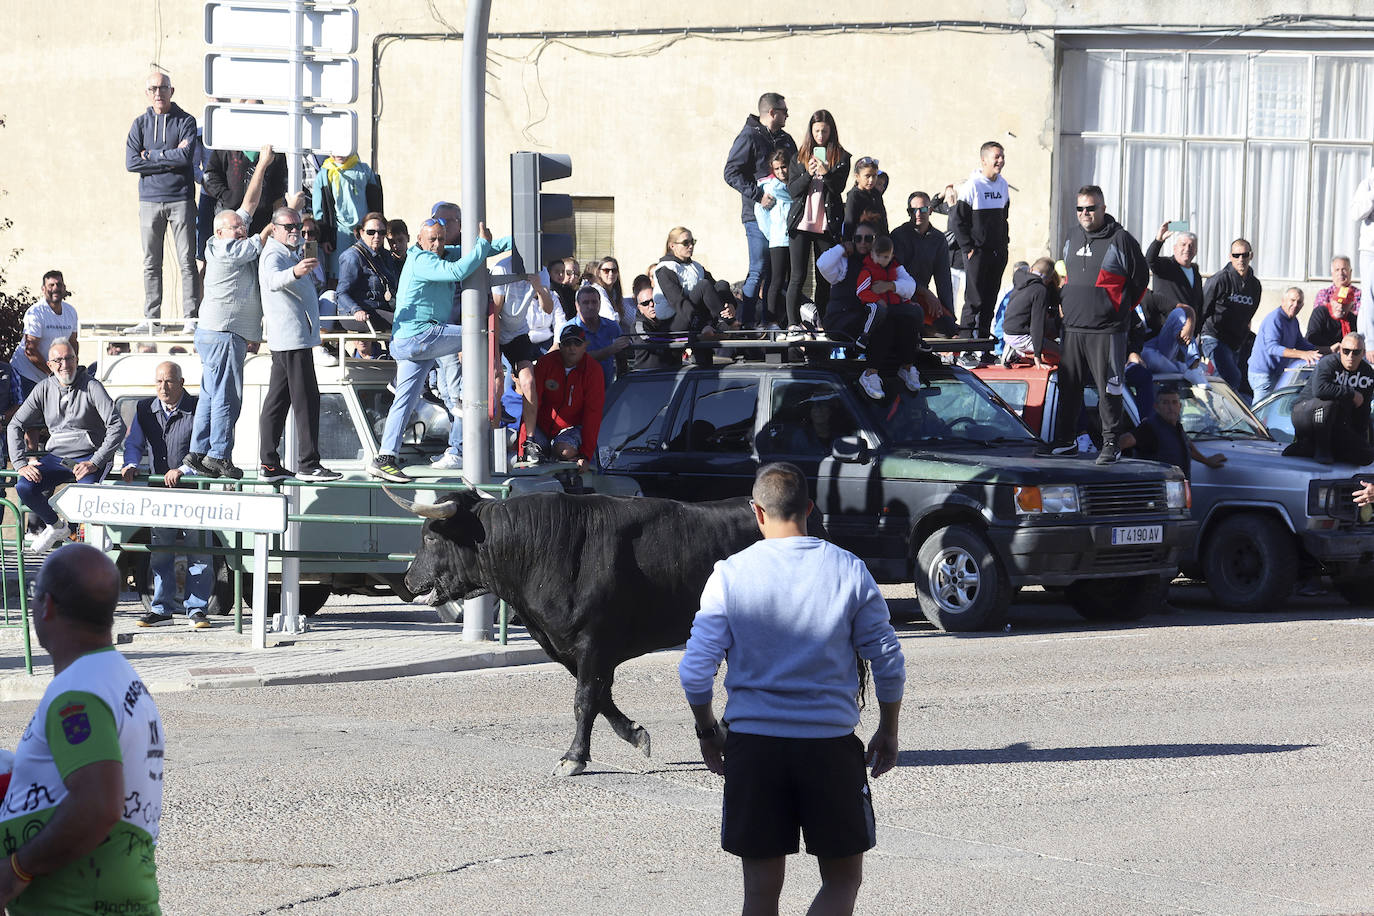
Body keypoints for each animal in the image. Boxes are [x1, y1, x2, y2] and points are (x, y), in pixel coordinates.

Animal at [387, 491, 813, 780]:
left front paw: (573, 758)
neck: (542, 550)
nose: (407, 581)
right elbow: (600, 696)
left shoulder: (593, 641)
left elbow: (584, 700)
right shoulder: (573, 648)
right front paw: (636, 735)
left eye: (430, 537)